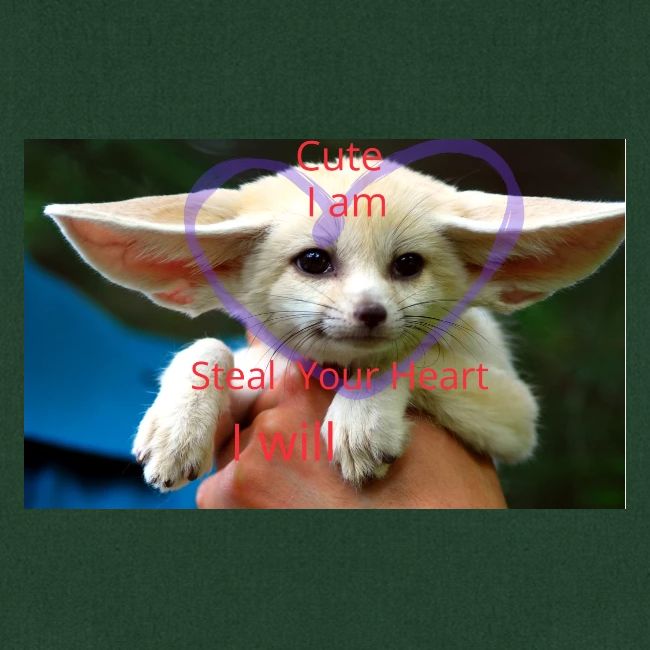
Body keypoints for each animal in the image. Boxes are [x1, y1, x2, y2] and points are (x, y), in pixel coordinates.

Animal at [45, 160, 625, 490]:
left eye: (408, 265)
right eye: (313, 261)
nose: (371, 313)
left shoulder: (517, 417)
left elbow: (407, 355)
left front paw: (361, 421)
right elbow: (208, 345)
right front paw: (175, 432)